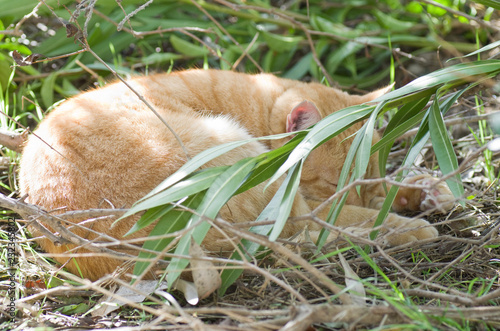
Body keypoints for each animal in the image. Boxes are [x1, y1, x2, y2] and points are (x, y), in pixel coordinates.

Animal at [18, 69, 454, 280]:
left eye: (369, 179)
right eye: (335, 183)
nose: (363, 195)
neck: (256, 106)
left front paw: (423, 190)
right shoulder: (307, 201)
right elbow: (352, 216)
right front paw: (409, 212)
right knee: (323, 228)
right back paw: (413, 229)